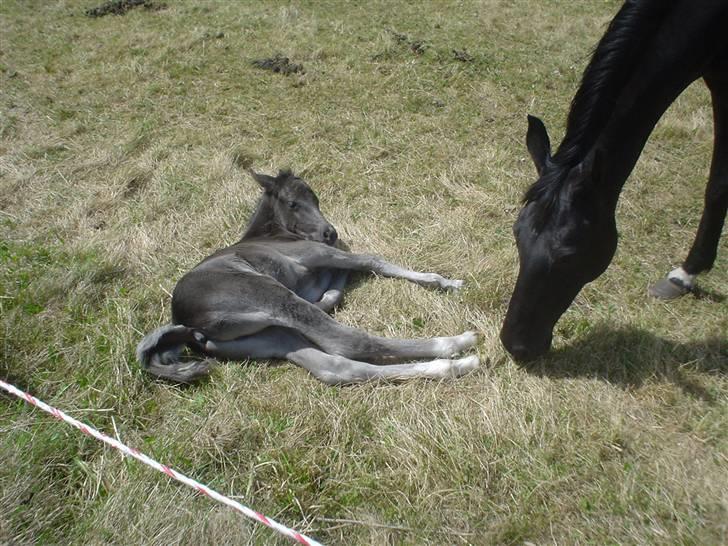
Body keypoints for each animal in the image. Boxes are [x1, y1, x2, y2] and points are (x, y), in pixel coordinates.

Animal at [137, 168, 480, 384]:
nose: (330, 232)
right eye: (293, 203)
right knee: (347, 342)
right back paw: (456, 343)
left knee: (335, 367)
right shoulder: (313, 254)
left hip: (268, 336)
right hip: (271, 296)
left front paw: (329, 295)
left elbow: (338, 282)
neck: (274, 233)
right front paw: (443, 281)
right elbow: (371, 260)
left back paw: (454, 367)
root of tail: (185, 323)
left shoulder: (319, 266)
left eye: (316, 199)